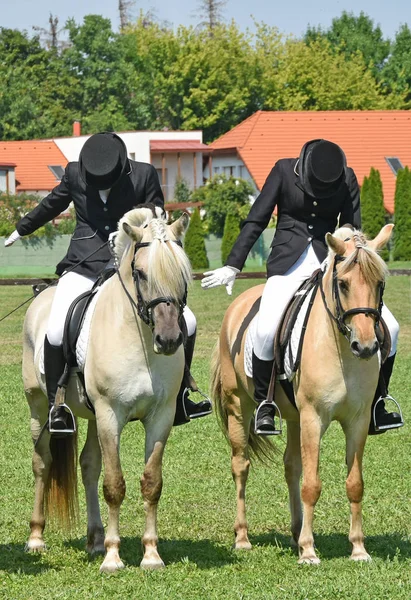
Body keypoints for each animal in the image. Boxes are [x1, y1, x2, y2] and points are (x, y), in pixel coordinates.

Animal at [23, 206, 193, 572]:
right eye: (140, 273)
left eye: (183, 273)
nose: (169, 340)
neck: (140, 339)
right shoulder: (110, 414)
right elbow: (114, 484)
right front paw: (114, 558)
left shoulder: (161, 416)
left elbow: (151, 482)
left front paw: (151, 554)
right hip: (39, 406)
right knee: (42, 463)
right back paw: (36, 538)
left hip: (90, 415)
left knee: (89, 466)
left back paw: (96, 539)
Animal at [211, 224, 394, 564]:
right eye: (343, 283)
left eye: (379, 283)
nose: (365, 347)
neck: (340, 350)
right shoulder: (313, 418)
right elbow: (312, 484)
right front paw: (309, 551)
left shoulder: (358, 420)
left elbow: (354, 484)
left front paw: (358, 549)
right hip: (238, 407)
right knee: (241, 466)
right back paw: (243, 538)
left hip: (295, 418)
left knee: (291, 466)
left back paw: (296, 532)